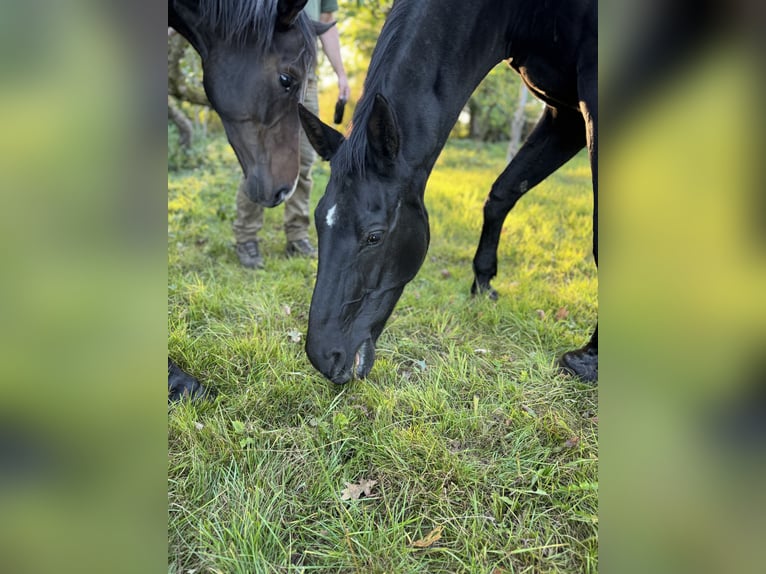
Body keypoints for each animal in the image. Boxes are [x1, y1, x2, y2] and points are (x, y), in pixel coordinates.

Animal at [298, 0, 597, 385]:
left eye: (374, 237)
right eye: (319, 221)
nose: (324, 357)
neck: (523, 14)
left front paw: (589, 358)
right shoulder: (567, 115)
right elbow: (502, 192)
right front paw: (482, 285)